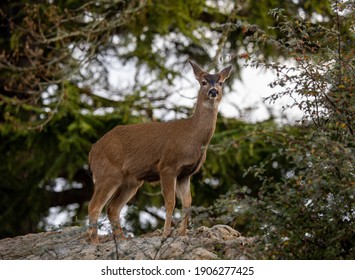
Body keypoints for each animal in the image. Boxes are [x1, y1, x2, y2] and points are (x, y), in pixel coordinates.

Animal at [87, 60, 234, 244]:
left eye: (221, 82)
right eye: (203, 82)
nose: (213, 91)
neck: (193, 136)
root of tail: (92, 151)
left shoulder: (185, 173)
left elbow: (187, 203)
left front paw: (183, 234)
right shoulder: (167, 166)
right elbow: (171, 202)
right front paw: (165, 234)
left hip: (131, 181)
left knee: (112, 208)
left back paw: (122, 239)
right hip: (108, 173)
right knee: (94, 206)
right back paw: (95, 242)